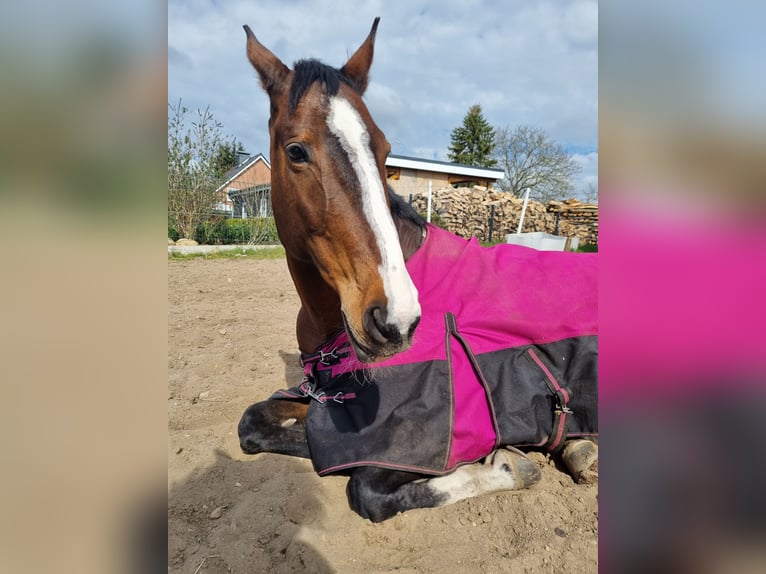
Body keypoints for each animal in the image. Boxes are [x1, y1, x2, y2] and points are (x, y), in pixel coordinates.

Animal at [237, 18, 598, 523]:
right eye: (295, 151)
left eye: (385, 149)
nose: (397, 319)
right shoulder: (328, 401)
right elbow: (257, 422)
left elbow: (365, 487)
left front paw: (509, 465)